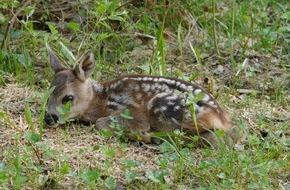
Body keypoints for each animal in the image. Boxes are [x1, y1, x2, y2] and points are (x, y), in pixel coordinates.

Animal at [44, 44, 245, 147]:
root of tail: (220, 116)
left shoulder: (129, 111)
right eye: (47, 95)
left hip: (162, 107)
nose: (48, 118)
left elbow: (102, 124)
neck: (101, 100)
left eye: (68, 98)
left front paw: (141, 134)